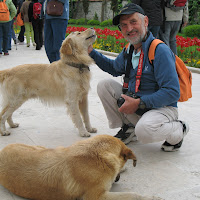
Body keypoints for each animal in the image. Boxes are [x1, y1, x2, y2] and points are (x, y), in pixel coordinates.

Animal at [0, 134, 162, 200]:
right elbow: (132, 195)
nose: (117, 178)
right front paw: (151, 197)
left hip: (43, 148)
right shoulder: (97, 197)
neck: (97, 153)